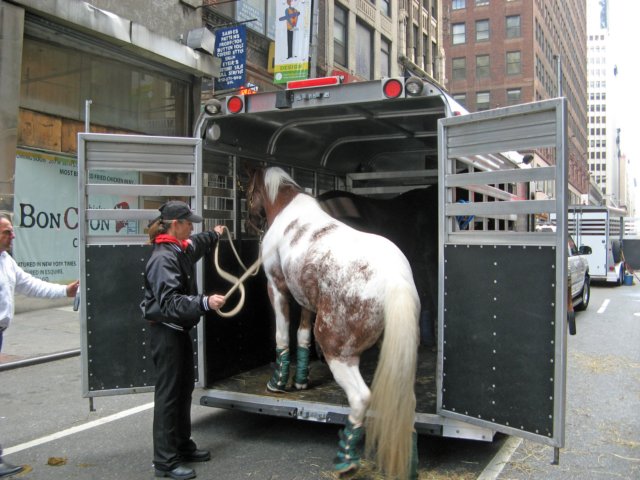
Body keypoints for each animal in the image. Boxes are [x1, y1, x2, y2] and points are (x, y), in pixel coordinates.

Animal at [245, 167, 420, 478]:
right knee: (405, 402)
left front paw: (277, 383)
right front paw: (300, 381)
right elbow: (303, 337)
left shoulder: (277, 287)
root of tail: (394, 280)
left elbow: (282, 336)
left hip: (338, 352)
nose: (249, 221)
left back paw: (345, 459)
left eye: (247, 190)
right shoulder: (306, 299)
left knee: (360, 398)